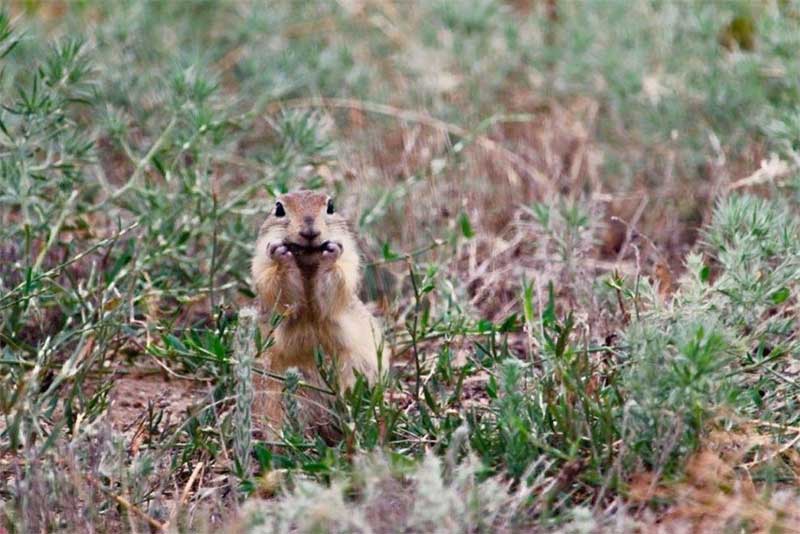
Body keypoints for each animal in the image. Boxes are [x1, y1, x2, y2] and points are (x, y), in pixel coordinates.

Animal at [250, 191, 388, 434]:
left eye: (330, 206)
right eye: (279, 209)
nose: (309, 231)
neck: (307, 264)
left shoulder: (348, 263)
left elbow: (336, 281)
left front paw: (331, 253)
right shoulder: (262, 266)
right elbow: (279, 287)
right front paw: (281, 255)